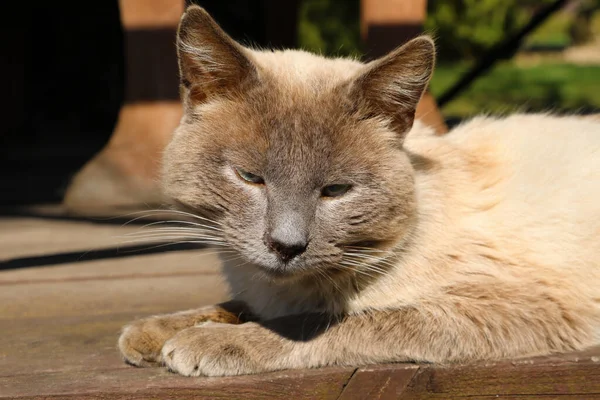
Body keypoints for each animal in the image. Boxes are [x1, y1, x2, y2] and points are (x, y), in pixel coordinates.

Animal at [117, 4, 600, 376]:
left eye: (335, 190)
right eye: (250, 178)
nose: (285, 246)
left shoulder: (513, 306)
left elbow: (326, 323)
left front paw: (204, 343)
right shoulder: (264, 290)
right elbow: (234, 303)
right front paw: (152, 333)